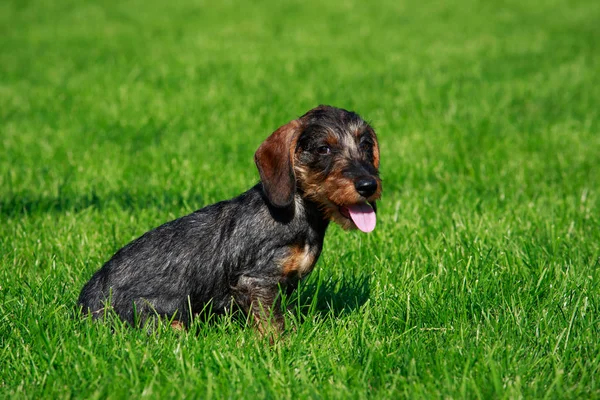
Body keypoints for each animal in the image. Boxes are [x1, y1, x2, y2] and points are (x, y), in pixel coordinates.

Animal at [77, 104, 382, 332]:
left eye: (366, 145)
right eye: (323, 149)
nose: (368, 185)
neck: (298, 210)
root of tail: (83, 307)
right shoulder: (257, 280)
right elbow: (272, 324)